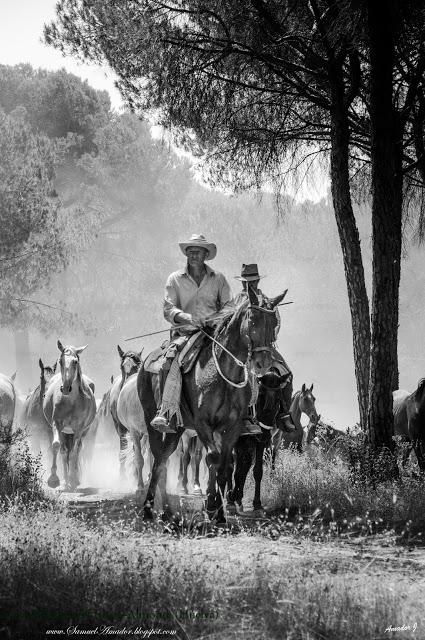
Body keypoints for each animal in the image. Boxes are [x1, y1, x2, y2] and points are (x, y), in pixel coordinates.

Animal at [139, 288, 284, 524]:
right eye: (253, 318)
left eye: (274, 322)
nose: (263, 363)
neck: (222, 374)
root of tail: (145, 363)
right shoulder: (203, 424)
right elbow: (213, 459)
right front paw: (212, 507)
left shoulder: (232, 428)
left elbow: (225, 466)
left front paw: (219, 513)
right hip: (152, 420)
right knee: (158, 458)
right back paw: (148, 509)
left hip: (176, 429)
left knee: (163, 458)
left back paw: (167, 511)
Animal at [225, 370, 292, 516]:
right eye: (260, 395)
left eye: (278, 397)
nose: (265, 430)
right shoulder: (239, 443)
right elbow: (234, 469)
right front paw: (231, 498)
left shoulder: (260, 443)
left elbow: (256, 471)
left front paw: (257, 504)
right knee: (233, 466)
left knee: (243, 467)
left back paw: (238, 499)